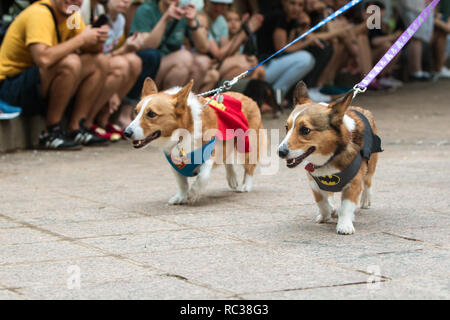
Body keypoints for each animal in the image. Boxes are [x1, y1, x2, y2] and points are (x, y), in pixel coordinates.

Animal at [123, 77, 264, 205]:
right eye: (136, 112)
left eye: (151, 114)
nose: (126, 133)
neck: (182, 134)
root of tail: (248, 98)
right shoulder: (175, 163)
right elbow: (182, 183)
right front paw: (180, 197)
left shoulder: (210, 154)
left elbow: (203, 176)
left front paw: (193, 194)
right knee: (227, 160)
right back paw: (232, 179)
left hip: (247, 145)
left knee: (249, 167)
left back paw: (245, 186)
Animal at [280, 81, 382, 234]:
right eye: (287, 127)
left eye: (305, 130)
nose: (280, 152)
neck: (329, 157)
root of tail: (359, 108)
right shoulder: (314, 183)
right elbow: (322, 202)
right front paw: (326, 214)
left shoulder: (354, 184)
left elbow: (346, 206)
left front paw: (344, 225)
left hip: (371, 165)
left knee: (368, 181)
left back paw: (365, 199)